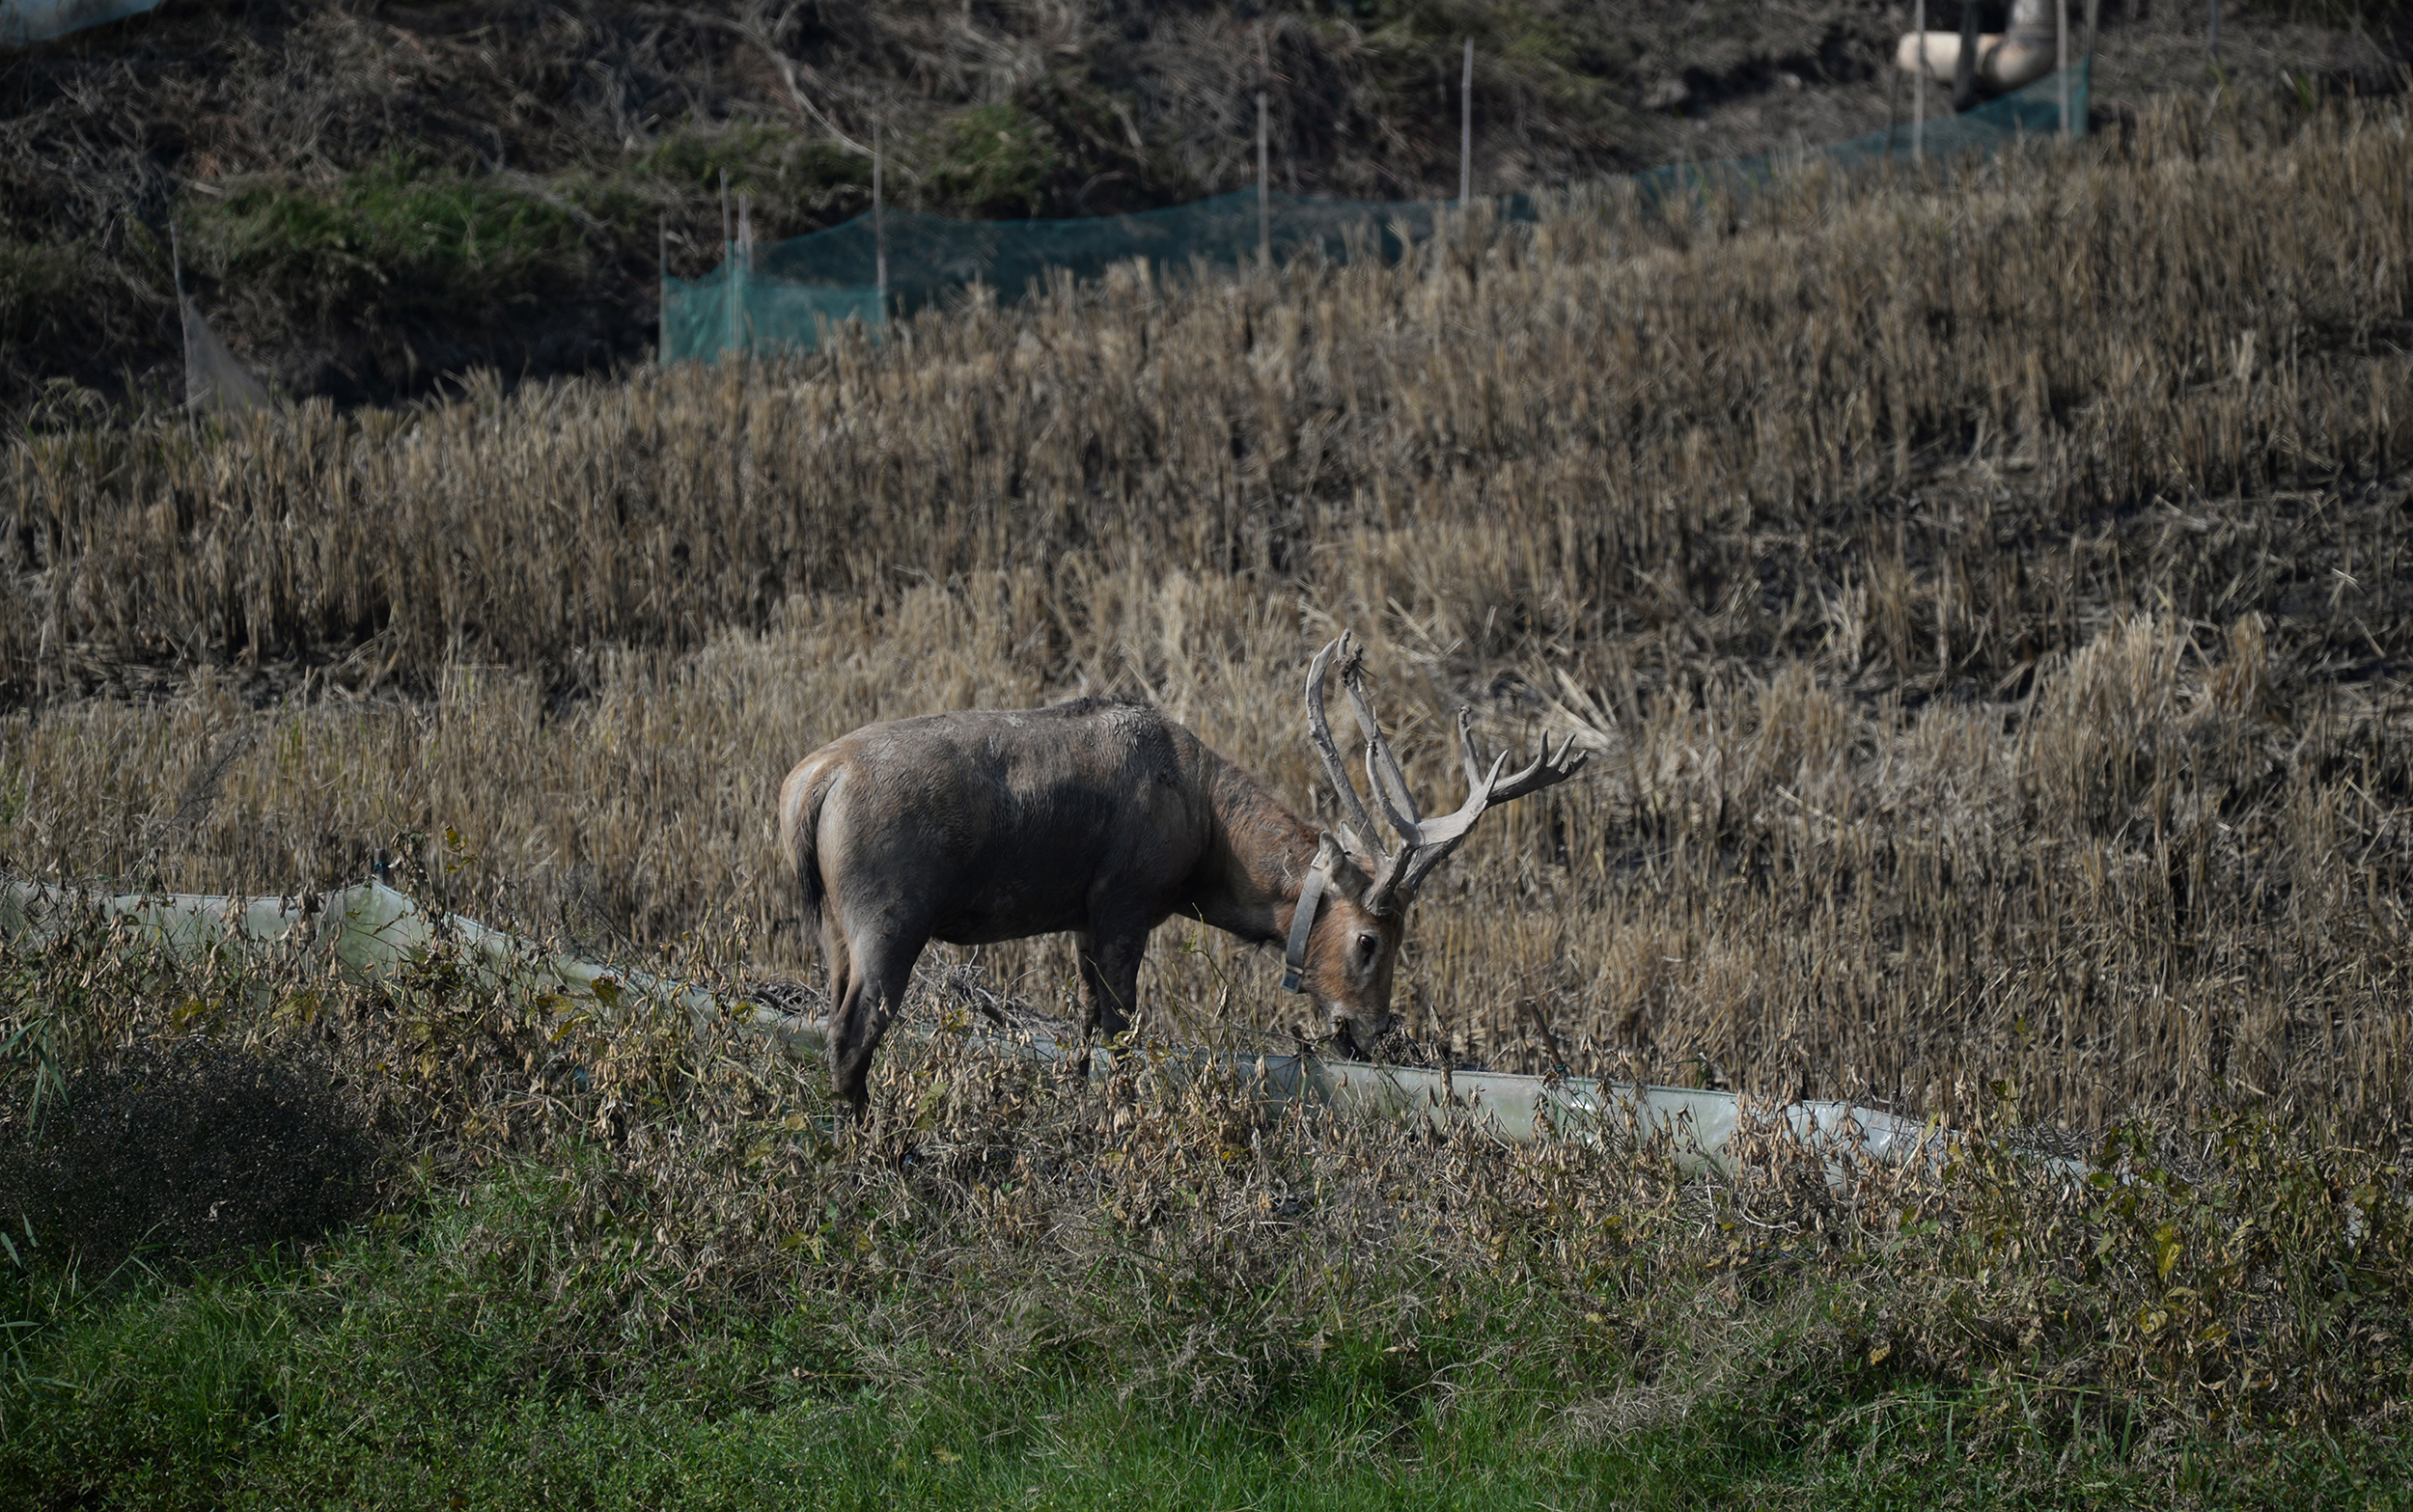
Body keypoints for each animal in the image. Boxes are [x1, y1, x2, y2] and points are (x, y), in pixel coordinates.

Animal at [782, 631, 1593, 1118]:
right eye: (1370, 940)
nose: (1370, 1029)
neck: (1206, 839)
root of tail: (806, 789)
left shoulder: (1084, 917)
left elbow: (1084, 1032)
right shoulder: (1124, 899)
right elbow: (1120, 1029)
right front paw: (1120, 1118)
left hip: (831, 924)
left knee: (834, 1019)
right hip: (889, 912)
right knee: (853, 1031)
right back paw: (883, 1150)